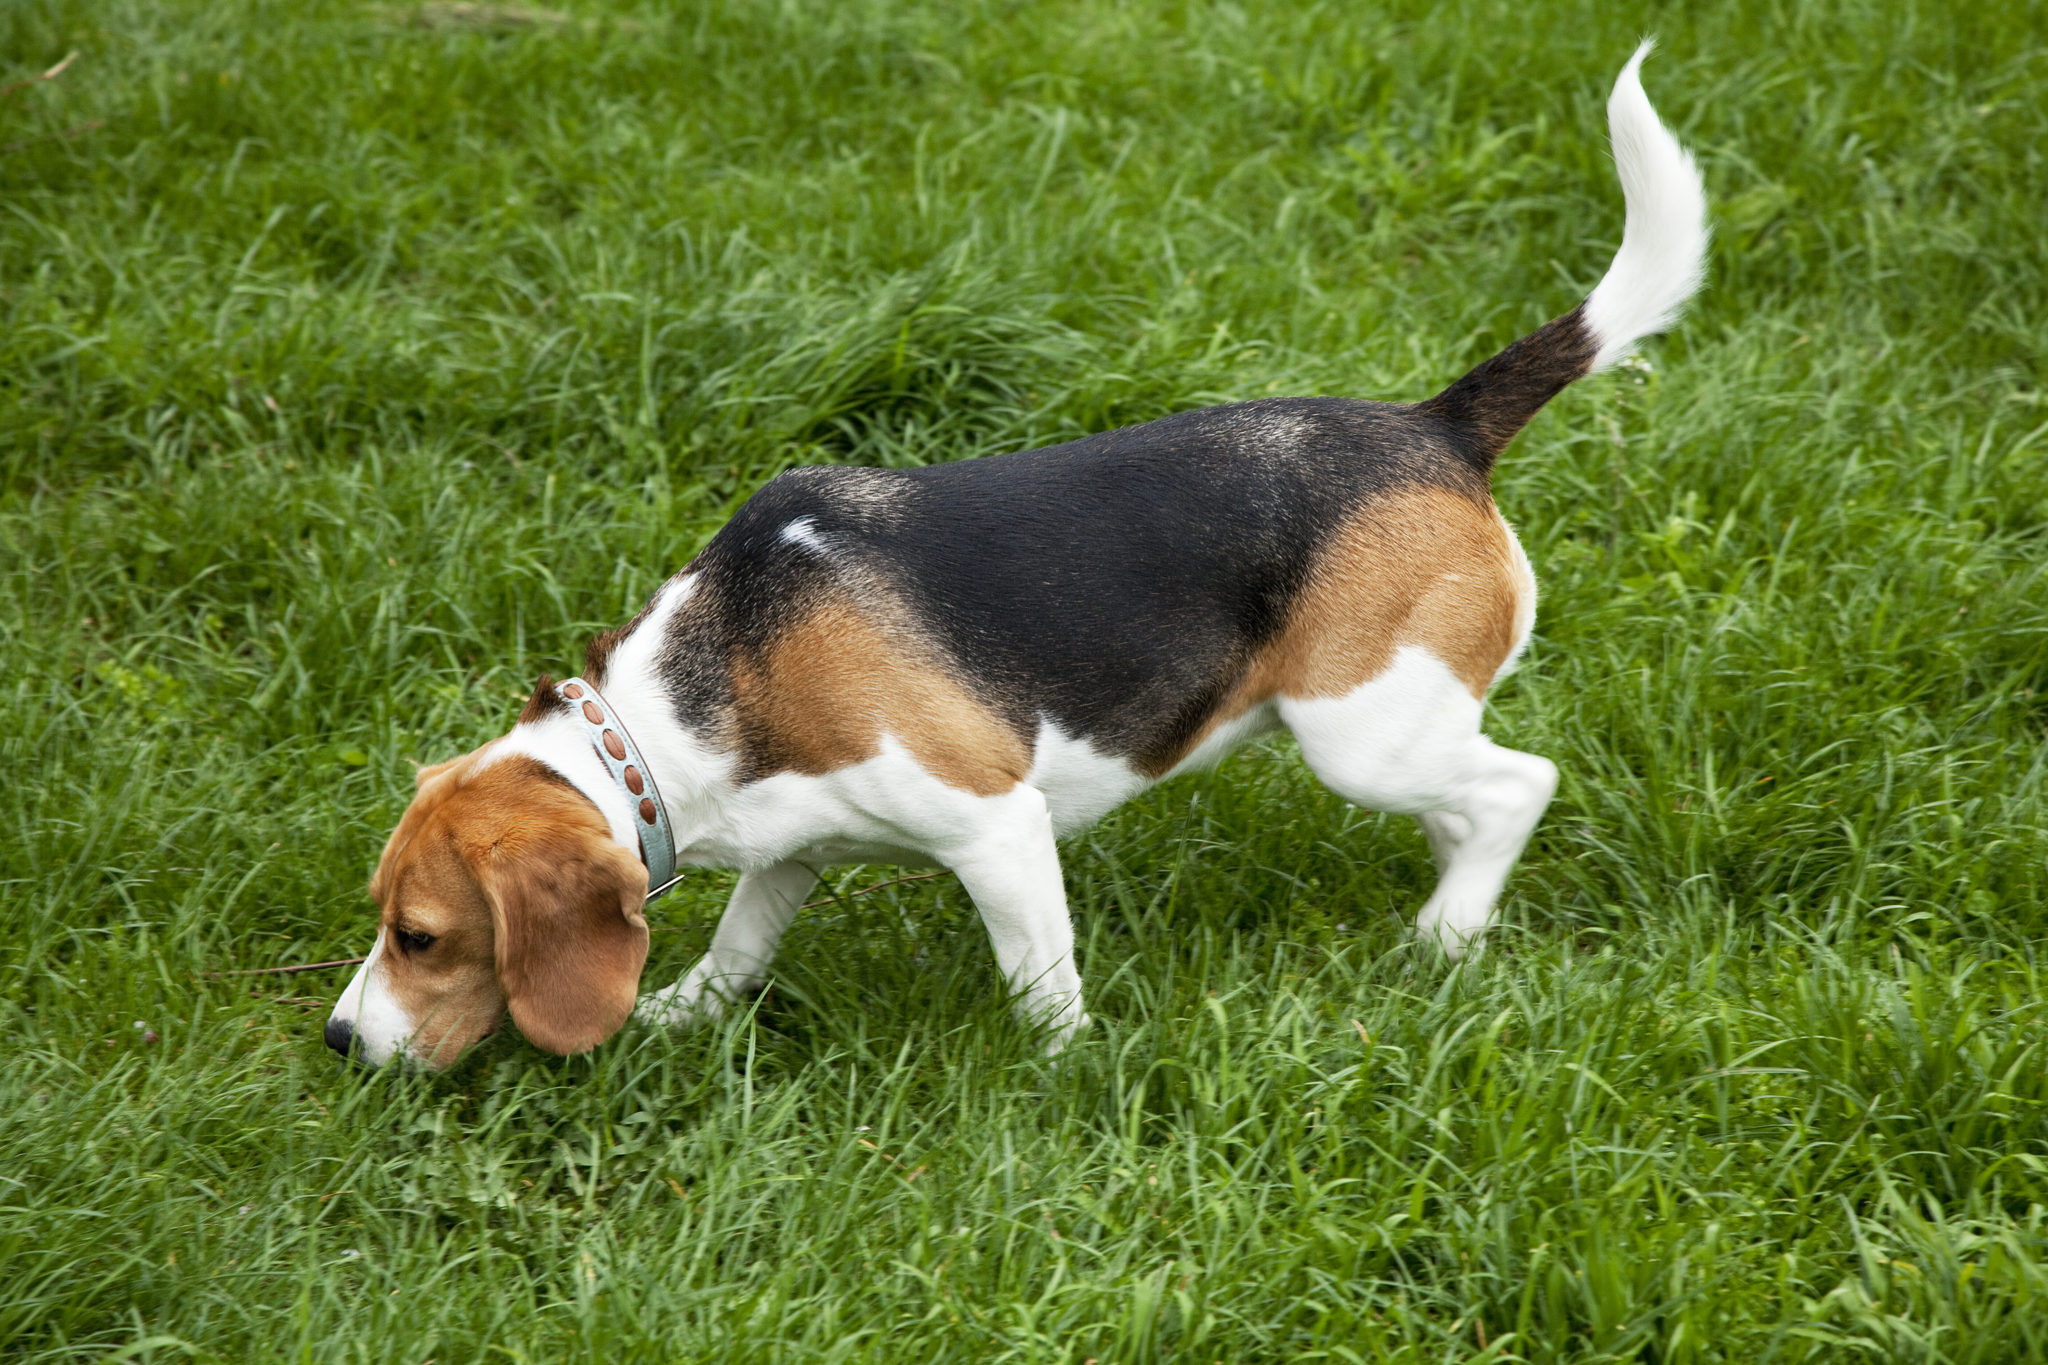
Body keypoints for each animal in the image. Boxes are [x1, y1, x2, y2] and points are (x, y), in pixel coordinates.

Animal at [327, 48, 1712, 1064]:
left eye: (422, 938)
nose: (341, 1041)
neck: (674, 717)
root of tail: (1436, 424)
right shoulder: (795, 846)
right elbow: (739, 943)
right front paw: (688, 1012)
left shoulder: (995, 826)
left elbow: (1037, 980)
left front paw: (1063, 1072)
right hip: (1399, 726)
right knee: (1469, 798)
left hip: (1355, 730)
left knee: (1517, 784)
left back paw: (1441, 936)